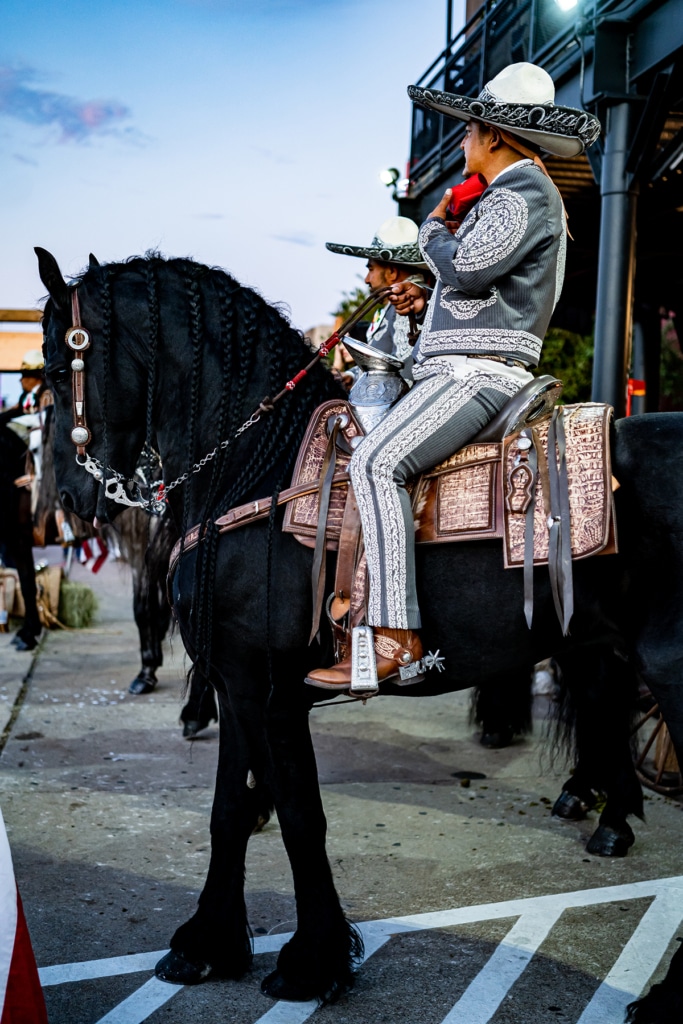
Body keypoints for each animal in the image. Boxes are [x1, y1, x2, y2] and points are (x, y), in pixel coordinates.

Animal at [36, 249, 683, 1007]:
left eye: (56, 369)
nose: (71, 499)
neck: (256, 467)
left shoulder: (270, 692)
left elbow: (299, 816)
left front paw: (312, 960)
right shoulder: (236, 683)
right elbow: (229, 811)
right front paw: (206, 946)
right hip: (597, 642)